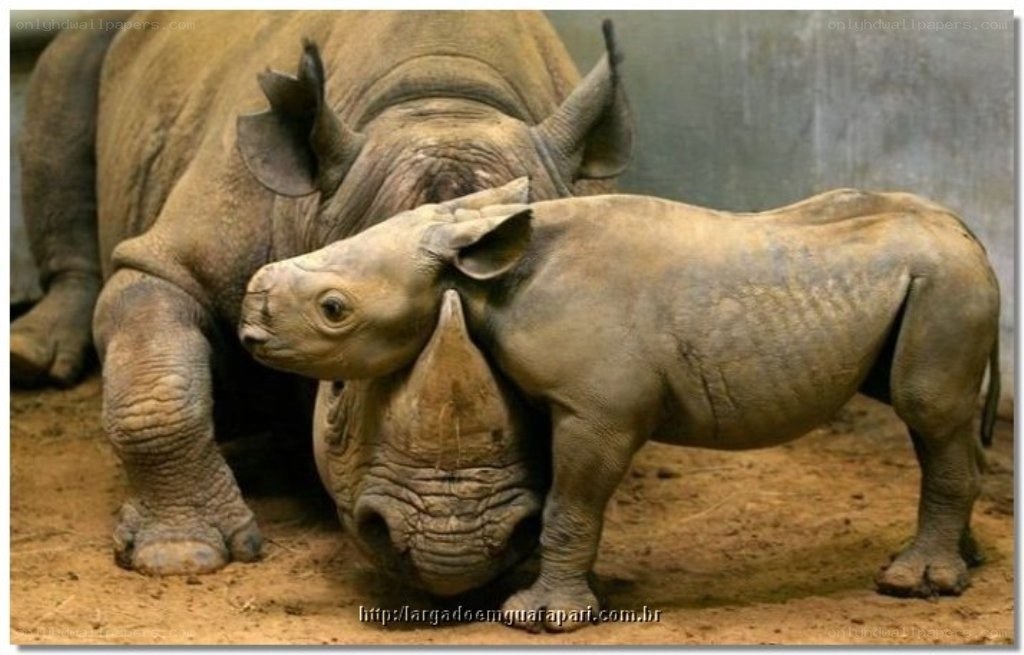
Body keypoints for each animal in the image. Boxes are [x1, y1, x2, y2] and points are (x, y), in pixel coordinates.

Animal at [11, 11, 634, 582]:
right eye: (333, 387)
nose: (454, 556)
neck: (441, 98)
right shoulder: (176, 258)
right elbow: (157, 379)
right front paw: (180, 555)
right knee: (63, 71)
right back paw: (29, 358)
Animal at [240, 179, 1001, 632]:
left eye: (334, 309)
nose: (249, 326)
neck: (485, 275)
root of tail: (970, 235)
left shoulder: (597, 410)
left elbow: (570, 503)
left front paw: (541, 617)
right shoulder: (560, 398)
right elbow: (554, 496)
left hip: (947, 284)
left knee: (927, 409)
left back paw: (913, 584)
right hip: (930, 279)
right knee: (936, 419)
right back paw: (962, 562)